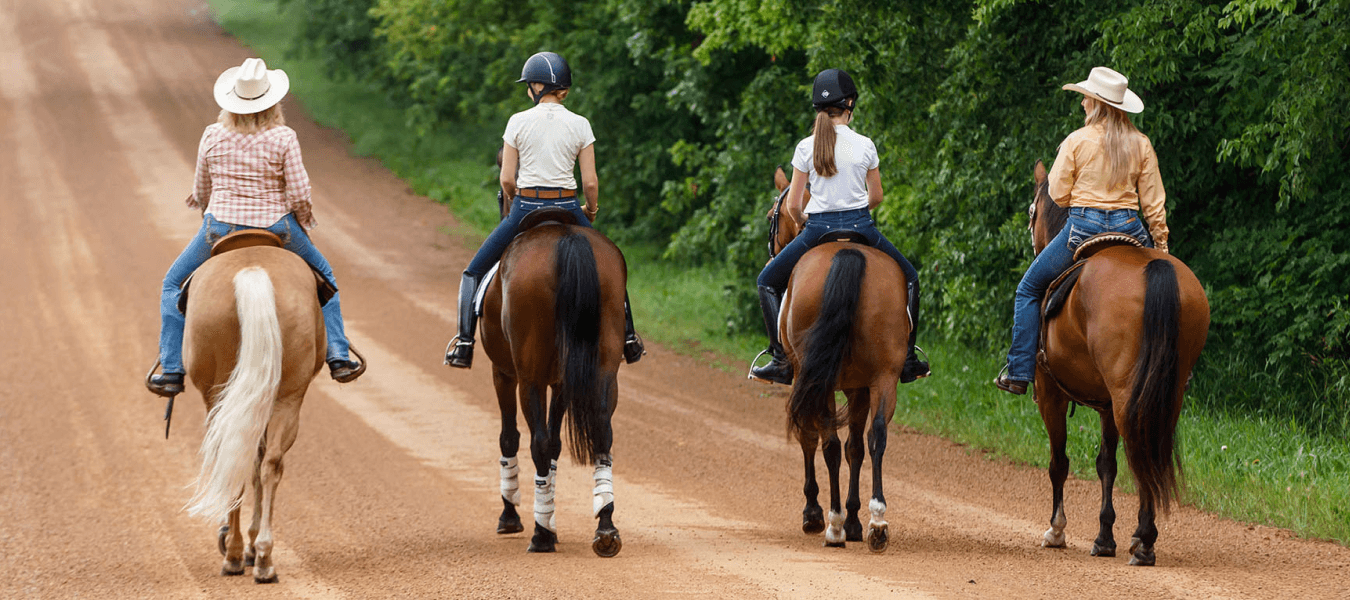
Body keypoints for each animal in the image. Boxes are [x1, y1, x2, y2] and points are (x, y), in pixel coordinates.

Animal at [178, 231, 359, 582]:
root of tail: (252, 272)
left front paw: (241, 545)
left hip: (233, 395)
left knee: (245, 459)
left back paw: (239, 555)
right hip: (285, 397)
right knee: (268, 463)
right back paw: (259, 557)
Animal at [478, 208, 626, 557]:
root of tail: (566, 239)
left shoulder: (503, 373)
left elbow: (510, 438)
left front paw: (513, 516)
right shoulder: (560, 382)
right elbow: (558, 443)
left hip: (528, 377)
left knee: (538, 442)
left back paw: (541, 535)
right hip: (604, 366)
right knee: (602, 433)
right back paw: (606, 528)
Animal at [768, 167, 911, 553]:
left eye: (771, 216)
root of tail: (847, 252)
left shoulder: (806, 377)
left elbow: (811, 438)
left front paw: (815, 514)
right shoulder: (860, 386)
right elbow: (856, 448)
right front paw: (856, 520)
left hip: (821, 378)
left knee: (828, 442)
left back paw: (832, 525)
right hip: (884, 376)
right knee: (876, 436)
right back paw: (877, 523)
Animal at [1027, 160, 1210, 565]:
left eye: (1031, 211)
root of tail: (1155, 270)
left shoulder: (1050, 394)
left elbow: (1059, 462)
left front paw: (1057, 530)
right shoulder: (1106, 403)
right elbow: (1106, 464)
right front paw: (1105, 534)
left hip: (1124, 394)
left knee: (1138, 452)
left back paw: (1144, 541)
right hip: (1161, 394)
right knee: (1148, 449)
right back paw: (1142, 538)